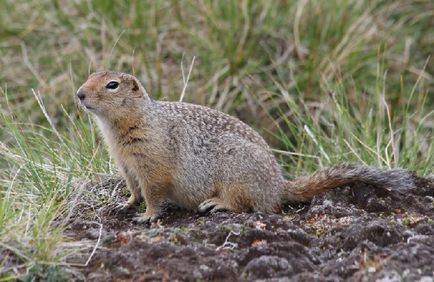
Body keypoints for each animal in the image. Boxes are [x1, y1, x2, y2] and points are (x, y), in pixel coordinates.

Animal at [76, 70, 416, 223]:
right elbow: (134, 189)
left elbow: (154, 192)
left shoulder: (151, 161)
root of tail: (279, 185)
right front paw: (124, 204)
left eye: (112, 85)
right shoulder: (126, 164)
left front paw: (146, 216)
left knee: (251, 205)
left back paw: (217, 204)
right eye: (90, 75)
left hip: (237, 175)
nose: (79, 93)